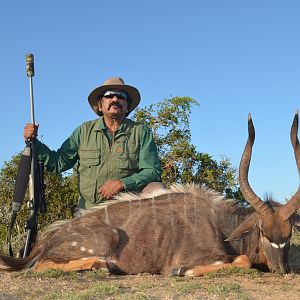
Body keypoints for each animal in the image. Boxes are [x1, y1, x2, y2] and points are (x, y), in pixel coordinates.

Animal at [0, 112, 298, 274]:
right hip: (107, 237)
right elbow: (243, 260)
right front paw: (182, 272)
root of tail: (43, 242)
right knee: (40, 264)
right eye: (263, 232)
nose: (282, 270)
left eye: (288, 234)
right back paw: (100, 264)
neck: (220, 223)